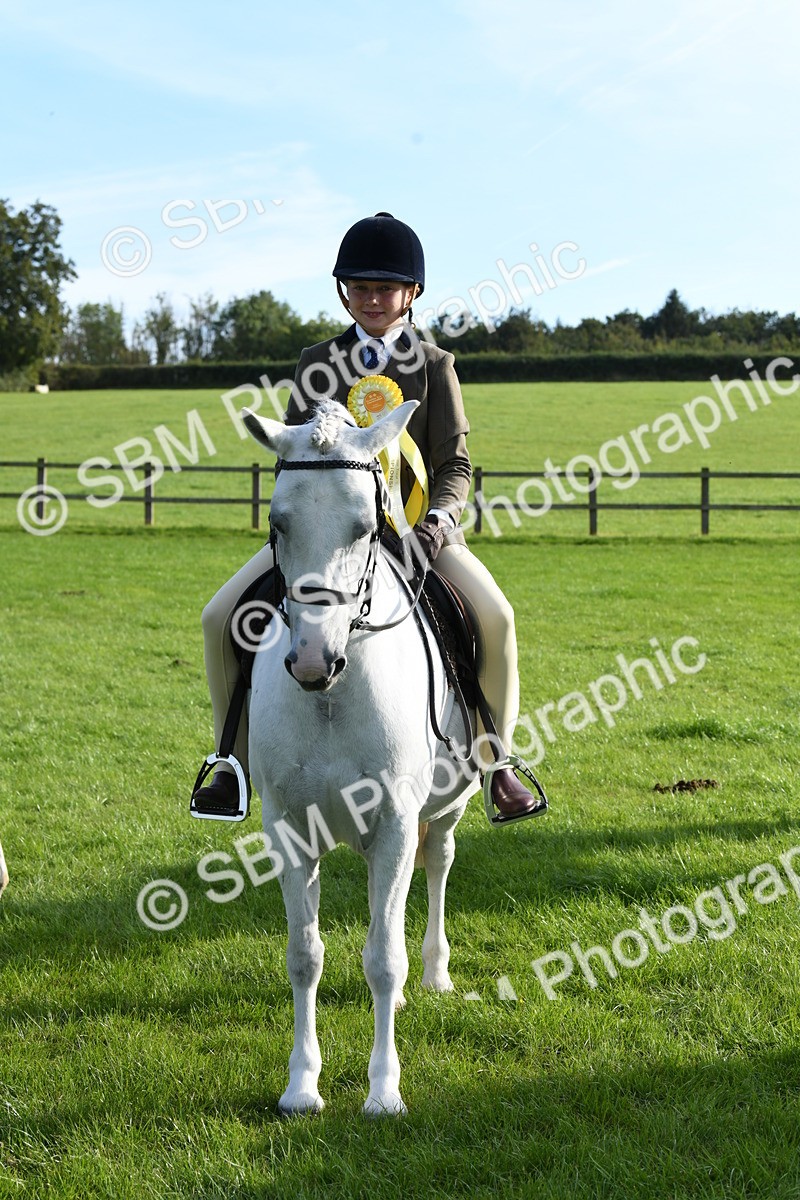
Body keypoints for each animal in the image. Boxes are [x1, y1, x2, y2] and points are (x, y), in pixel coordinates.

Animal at [242, 398, 480, 1117]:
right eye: (277, 522)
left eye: (367, 526)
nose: (312, 661)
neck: (331, 696)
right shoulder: (289, 830)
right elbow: (304, 955)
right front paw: (301, 1085)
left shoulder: (397, 824)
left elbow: (381, 959)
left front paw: (383, 1090)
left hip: (446, 808)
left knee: (437, 865)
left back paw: (433, 973)